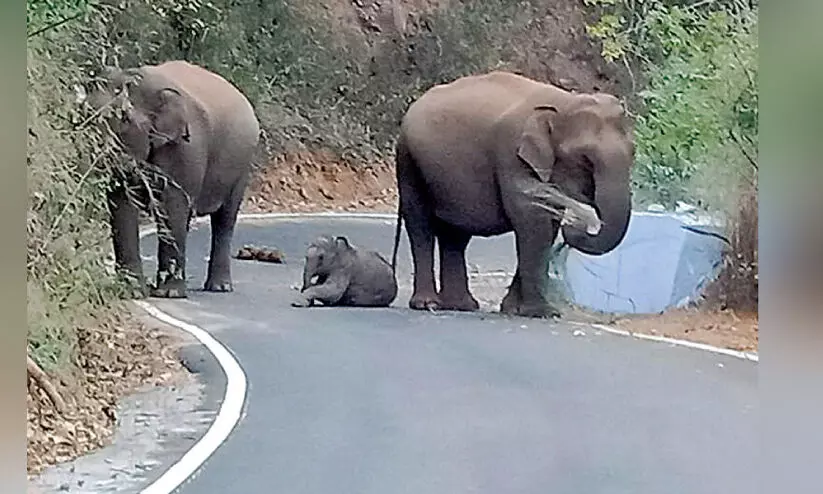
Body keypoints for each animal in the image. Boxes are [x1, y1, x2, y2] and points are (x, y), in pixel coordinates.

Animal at [88, 58, 260, 298]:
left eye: (124, 119)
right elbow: (122, 204)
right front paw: (132, 292)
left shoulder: (185, 147)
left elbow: (173, 205)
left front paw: (169, 293)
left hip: (242, 166)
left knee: (225, 218)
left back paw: (219, 287)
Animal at [390, 69, 636, 318]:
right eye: (585, 159)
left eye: (633, 152)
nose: (576, 224)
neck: (564, 102)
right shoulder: (512, 155)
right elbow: (532, 220)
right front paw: (542, 312)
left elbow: (546, 225)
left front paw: (513, 309)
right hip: (409, 163)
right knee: (420, 225)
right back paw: (427, 304)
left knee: (455, 234)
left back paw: (461, 305)